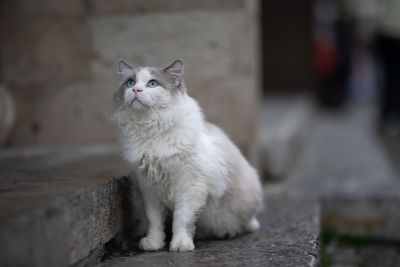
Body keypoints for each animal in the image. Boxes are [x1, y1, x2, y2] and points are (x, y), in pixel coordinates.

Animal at [111, 59, 264, 252]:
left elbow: (182, 220)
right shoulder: (149, 189)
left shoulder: (190, 187)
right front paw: (154, 244)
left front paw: (180, 245)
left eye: (152, 84)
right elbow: (155, 221)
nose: (136, 90)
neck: (149, 129)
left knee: (243, 226)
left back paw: (226, 233)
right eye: (130, 83)